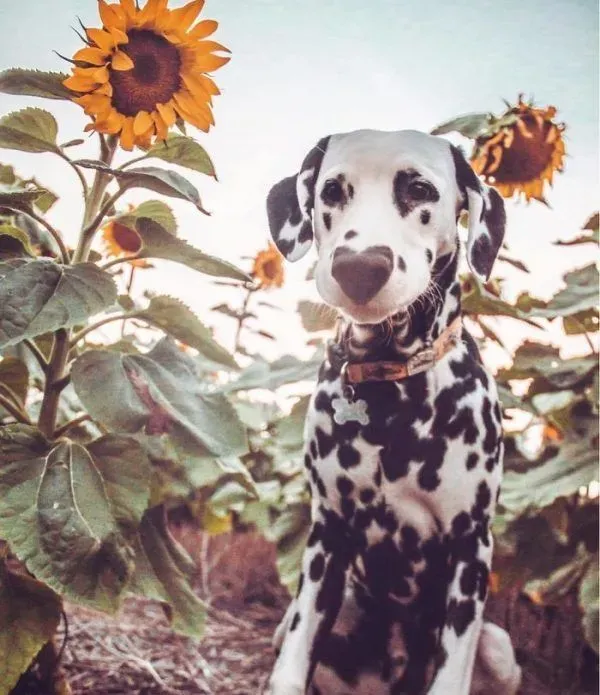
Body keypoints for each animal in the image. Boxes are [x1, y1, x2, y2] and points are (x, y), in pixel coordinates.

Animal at [264, 132, 516, 695]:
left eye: (419, 188)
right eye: (331, 191)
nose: (359, 267)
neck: (390, 400)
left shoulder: (470, 548)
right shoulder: (327, 537)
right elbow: (291, 663)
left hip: (499, 646)